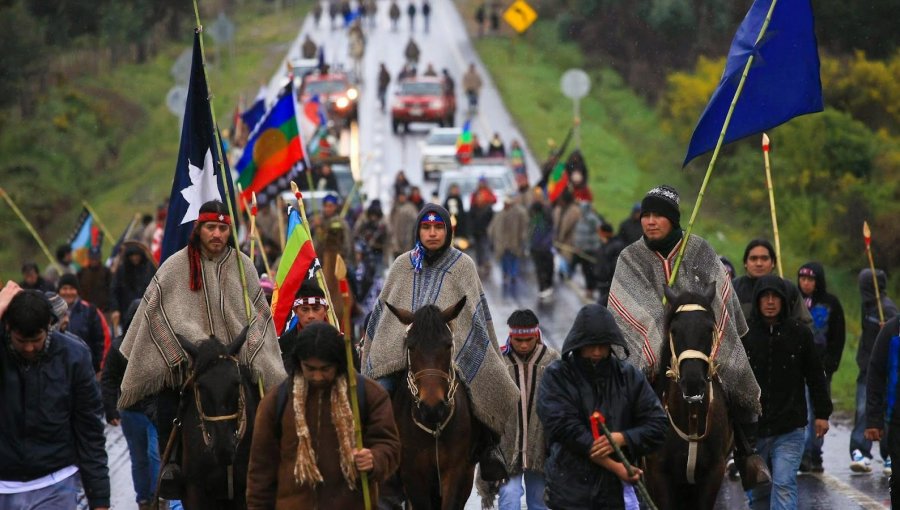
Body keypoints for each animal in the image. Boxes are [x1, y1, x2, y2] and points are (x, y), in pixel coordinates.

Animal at [384, 296, 482, 510]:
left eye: (448, 345)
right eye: (411, 347)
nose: (432, 407)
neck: (433, 427)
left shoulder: (456, 471)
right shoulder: (412, 474)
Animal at [644, 286, 736, 510]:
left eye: (709, 329)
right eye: (674, 331)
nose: (693, 382)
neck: (691, 417)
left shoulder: (714, 473)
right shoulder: (658, 474)